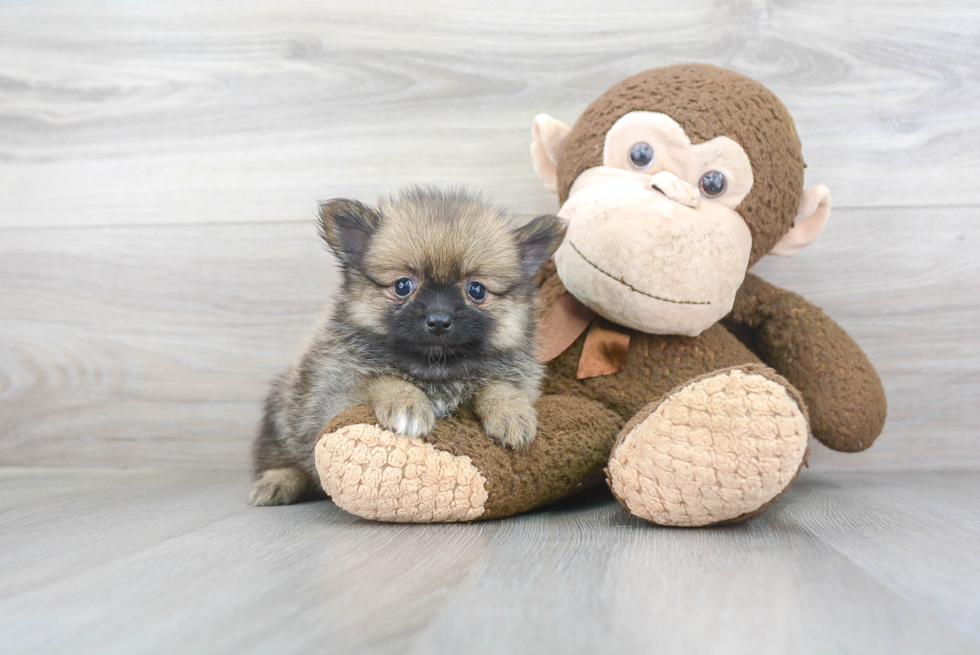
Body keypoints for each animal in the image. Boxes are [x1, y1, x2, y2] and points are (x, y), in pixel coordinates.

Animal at [247, 187, 568, 504]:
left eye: (476, 290)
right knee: (283, 458)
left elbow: (499, 385)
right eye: (403, 285)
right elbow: (381, 378)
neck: (435, 368)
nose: (439, 320)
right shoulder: (339, 399)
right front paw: (407, 403)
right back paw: (277, 482)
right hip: (285, 415)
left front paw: (511, 413)